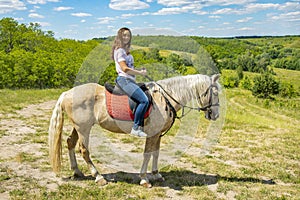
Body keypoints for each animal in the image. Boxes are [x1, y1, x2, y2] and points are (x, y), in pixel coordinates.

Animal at [48, 73, 220, 188]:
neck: (165, 98)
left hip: (79, 127)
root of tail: (67, 93)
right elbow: (147, 154)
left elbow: (156, 153)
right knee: (84, 150)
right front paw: (144, 179)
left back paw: (77, 172)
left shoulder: (158, 134)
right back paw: (98, 177)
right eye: (215, 93)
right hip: (84, 128)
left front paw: (156, 174)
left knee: (70, 142)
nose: (216, 115)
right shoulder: (152, 134)